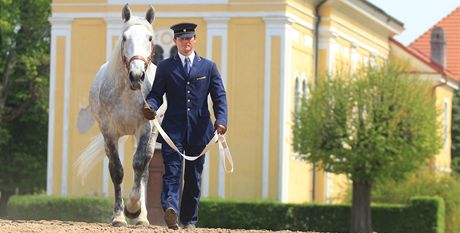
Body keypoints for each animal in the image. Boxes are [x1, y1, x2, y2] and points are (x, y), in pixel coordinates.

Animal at [74, 3, 164, 227]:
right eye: (124, 37)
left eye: (150, 38)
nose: (137, 75)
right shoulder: (109, 132)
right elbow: (117, 171)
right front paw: (118, 217)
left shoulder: (145, 128)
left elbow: (139, 166)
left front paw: (133, 209)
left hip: (153, 134)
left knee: (144, 170)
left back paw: (142, 217)